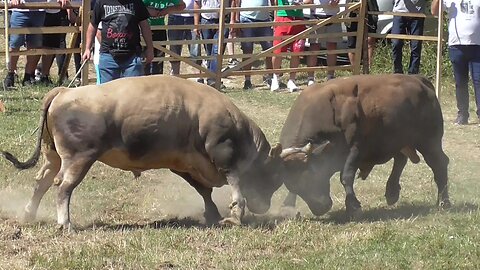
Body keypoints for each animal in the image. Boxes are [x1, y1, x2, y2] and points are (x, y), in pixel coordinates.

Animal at [280, 74, 452, 217]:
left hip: (429, 142)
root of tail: (420, 80)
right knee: (400, 159)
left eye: (313, 176)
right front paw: (288, 204)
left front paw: (353, 206)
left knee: (439, 164)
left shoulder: (356, 149)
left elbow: (346, 176)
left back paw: (444, 202)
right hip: (397, 139)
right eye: (295, 186)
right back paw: (392, 191)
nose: (321, 208)